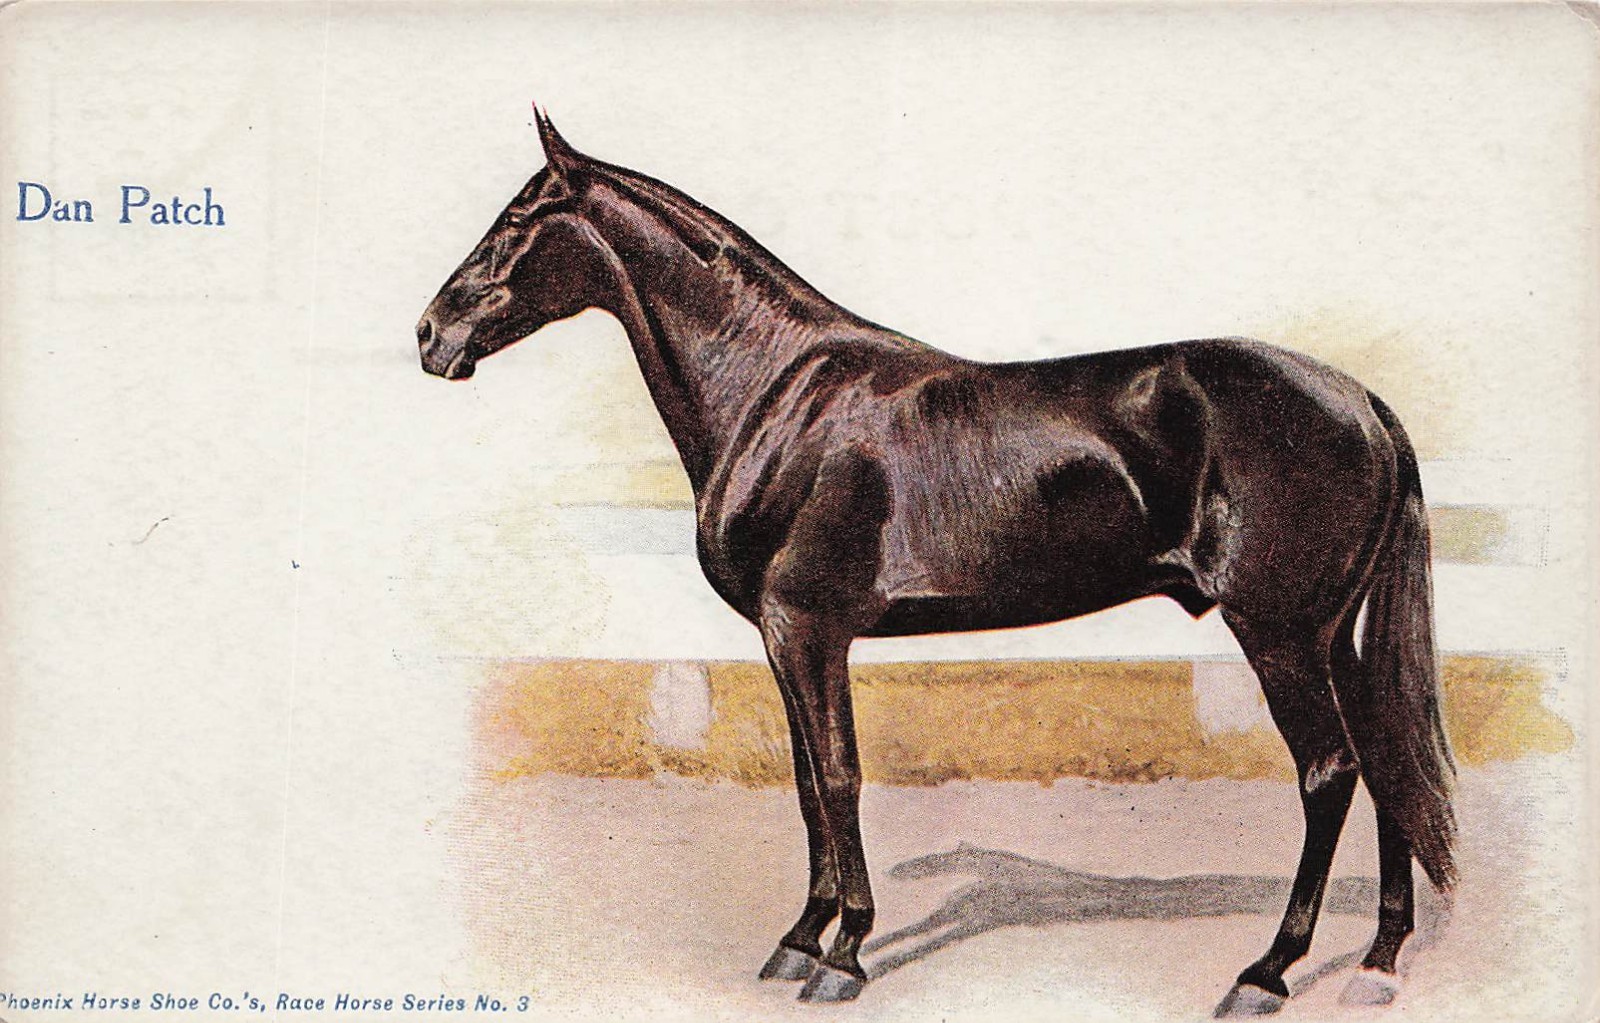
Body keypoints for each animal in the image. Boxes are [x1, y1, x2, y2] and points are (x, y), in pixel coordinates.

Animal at [417, 109, 1456, 1015]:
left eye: (516, 222)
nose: (431, 334)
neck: (774, 390)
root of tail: (1360, 401)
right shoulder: (783, 638)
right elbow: (807, 782)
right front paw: (799, 937)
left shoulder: (808, 627)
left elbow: (839, 775)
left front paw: (843, 954)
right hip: (1333, 635)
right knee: (1387, 762)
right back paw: (1378, 960)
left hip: (1279, 633)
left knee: (1329, 771)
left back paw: (1268, 969)